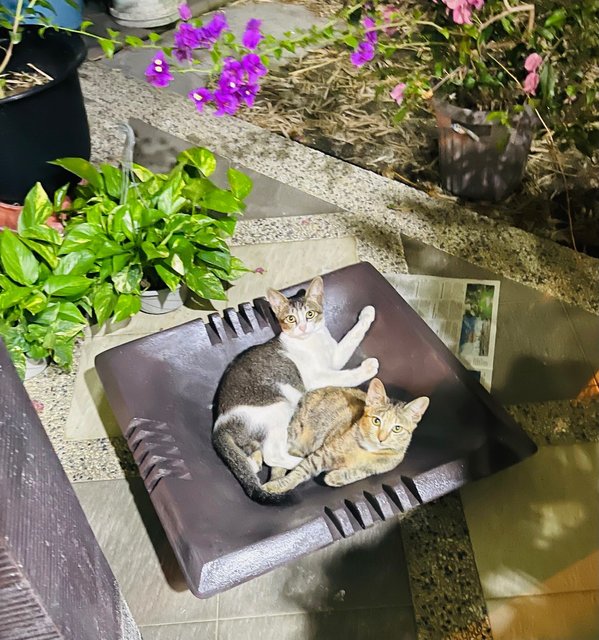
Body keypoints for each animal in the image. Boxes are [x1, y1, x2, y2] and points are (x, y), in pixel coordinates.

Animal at [213, 278, 378, 502]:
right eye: (290, 318)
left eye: (310, 314)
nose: (302, 327)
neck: (312, 341)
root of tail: (220, 424)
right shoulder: (317, 377)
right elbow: (346, 376)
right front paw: (368, 368)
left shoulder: (335, 357)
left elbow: (351, 337)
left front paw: (367, 314)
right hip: (278, 407)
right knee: (272, 454)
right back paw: (303, 462)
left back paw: (254, 461)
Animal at [264, 380, 428, 496]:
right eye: (376, 421)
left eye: (397, 428)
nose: (381, 438)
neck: (366, 450)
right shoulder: (322, 453)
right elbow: (301, 471)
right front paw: (279, 485)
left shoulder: (379, 467)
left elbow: (359, 472)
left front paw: (337, 477)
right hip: (295, 433)